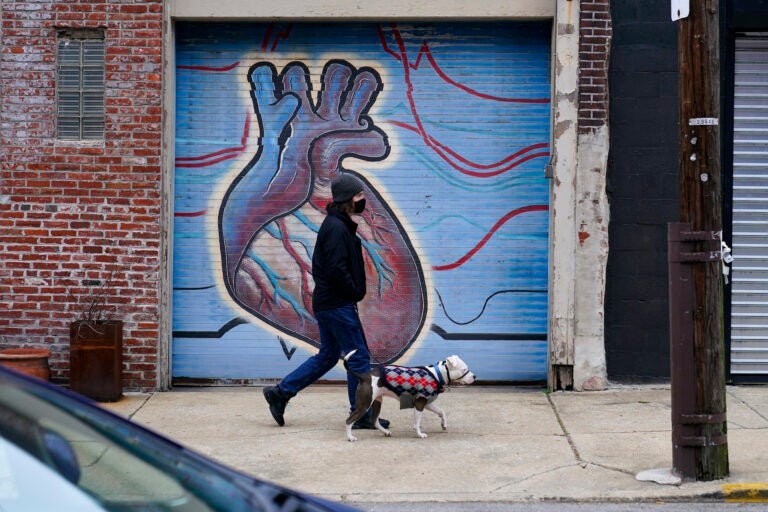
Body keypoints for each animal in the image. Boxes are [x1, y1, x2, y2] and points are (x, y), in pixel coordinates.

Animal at [342, 354, 474, 442]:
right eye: (464, 369)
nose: (475, 376)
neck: (437, 374)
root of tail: (364, 376)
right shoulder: (420, 403)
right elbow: (418, 422)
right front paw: (420, 434)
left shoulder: (427, 402)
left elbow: (441, 412)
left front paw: (443, 424)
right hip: (365, 404)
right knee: (349, 420)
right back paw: (350, 437)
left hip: (377, 401)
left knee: (374, 420)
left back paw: (386, 432)